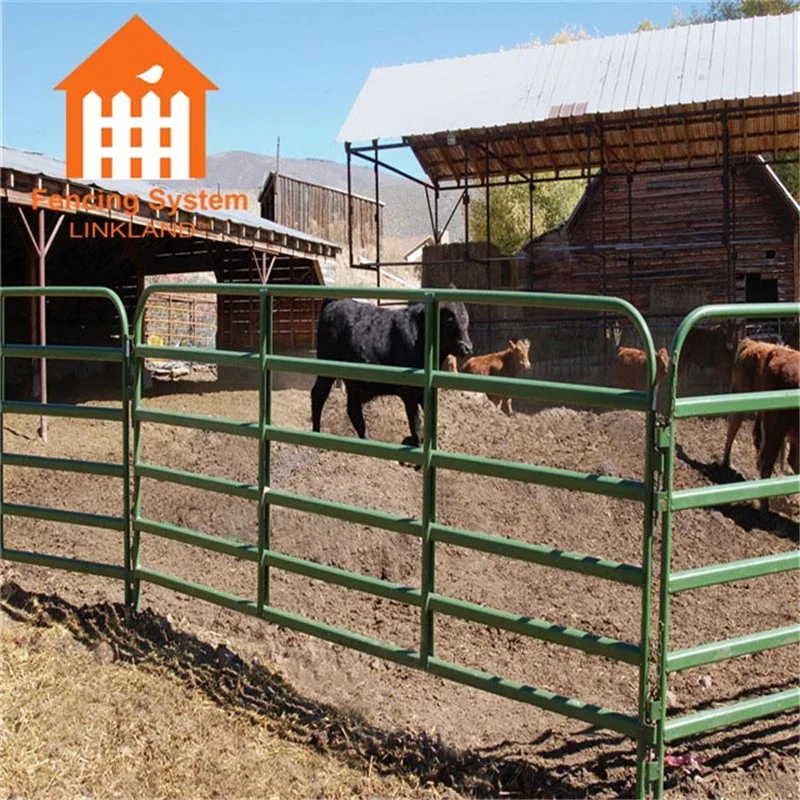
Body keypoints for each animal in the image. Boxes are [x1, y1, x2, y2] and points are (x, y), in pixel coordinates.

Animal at [310, 294, 472, 446]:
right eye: (450, 319)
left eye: (466, 318)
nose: (467, 347)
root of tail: (335, 302)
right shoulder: (409, 393)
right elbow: (416, 423)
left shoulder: (423, 393)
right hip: (327, 370)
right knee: (319, 394)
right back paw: (316, 433)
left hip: (354, 383)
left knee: (353, 409)